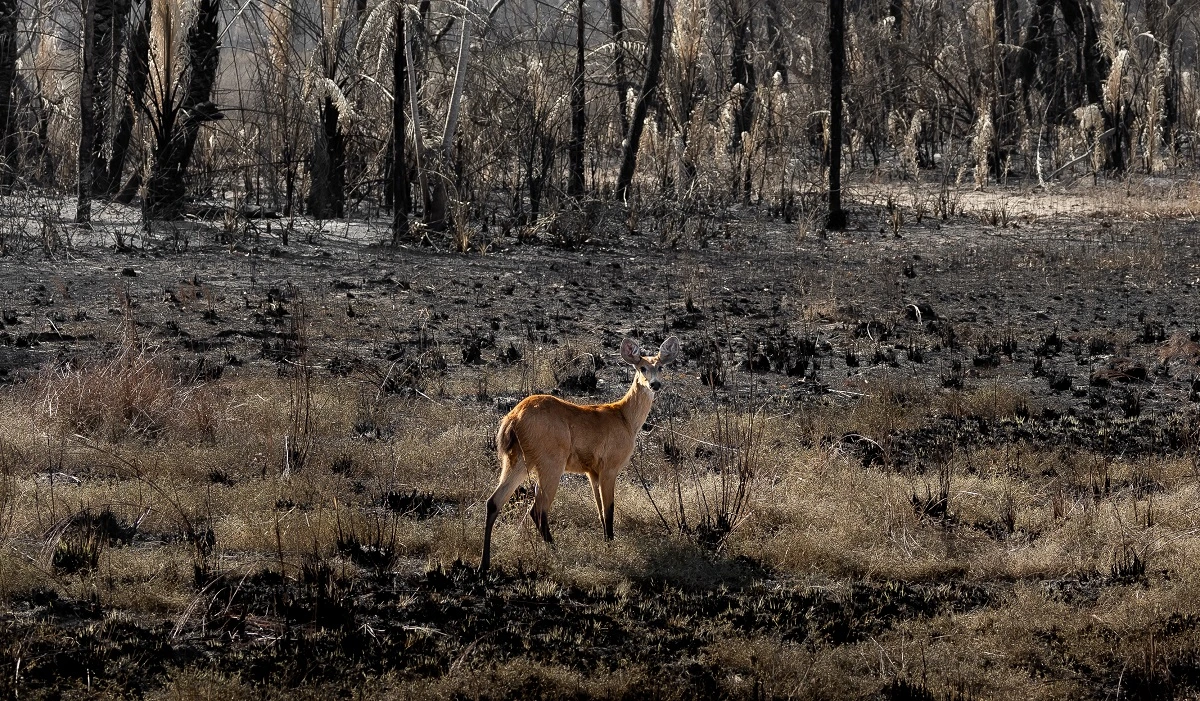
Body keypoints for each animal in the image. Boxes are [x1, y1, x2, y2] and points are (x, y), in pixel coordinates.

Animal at [480, 336, 686, 571]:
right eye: (641, 367)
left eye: (660, 367)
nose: (655, 384)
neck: (625, 418)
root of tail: (513, 417)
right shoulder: (609, 467)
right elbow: (609, 510)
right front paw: (611, 548)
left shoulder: (592, 472)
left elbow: (600, 511)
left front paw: (606, 543)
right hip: (551, 461)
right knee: (537, 509)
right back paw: (557, 553)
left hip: (517, 459)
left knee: (494, 501)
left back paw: (484, 564)